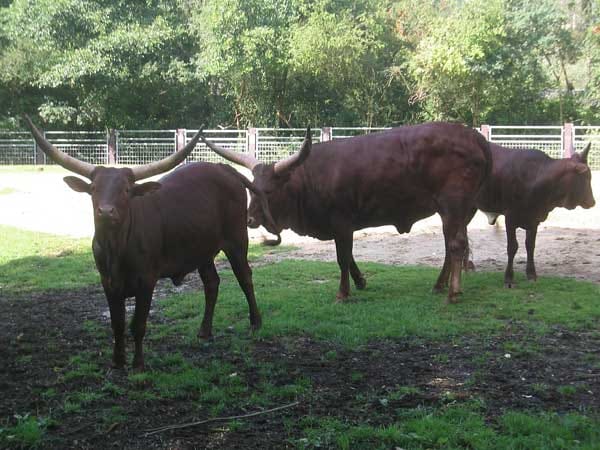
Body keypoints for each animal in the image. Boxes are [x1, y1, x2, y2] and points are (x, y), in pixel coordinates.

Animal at [24, 116, 262, 370]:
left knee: (245, 277)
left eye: (126, 189)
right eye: (93, 189)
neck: (115, 248)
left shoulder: (146, 280)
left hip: (237, 240)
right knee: (211, 283)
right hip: (202, 249)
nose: (106, 212)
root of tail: (223, 168)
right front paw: (117, 361)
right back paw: (204, 331)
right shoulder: (108, 283)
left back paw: (255, 322)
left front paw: (138, 362)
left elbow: (138, 325)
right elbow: (117, 324)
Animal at [202, 122, 492, 302]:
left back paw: (453, 292)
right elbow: (349, 255)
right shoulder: (342, 226)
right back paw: (439, 285)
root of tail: (474, 137)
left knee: (455, 245)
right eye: (251, 189)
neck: (309, 179)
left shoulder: (341, 221)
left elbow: (342, 257)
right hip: (458, 211)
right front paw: (361, 282)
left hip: (452, 205)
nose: (249, 220)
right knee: (452, 245)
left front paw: (343, 293)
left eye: (270, 191)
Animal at [466, 142, 592, 286]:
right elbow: (512, 247)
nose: (592, 201)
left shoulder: (533, 219)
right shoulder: (510, 218)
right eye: (587, 176)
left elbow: (530, 245)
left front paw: (531, 274)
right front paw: (508, 278)